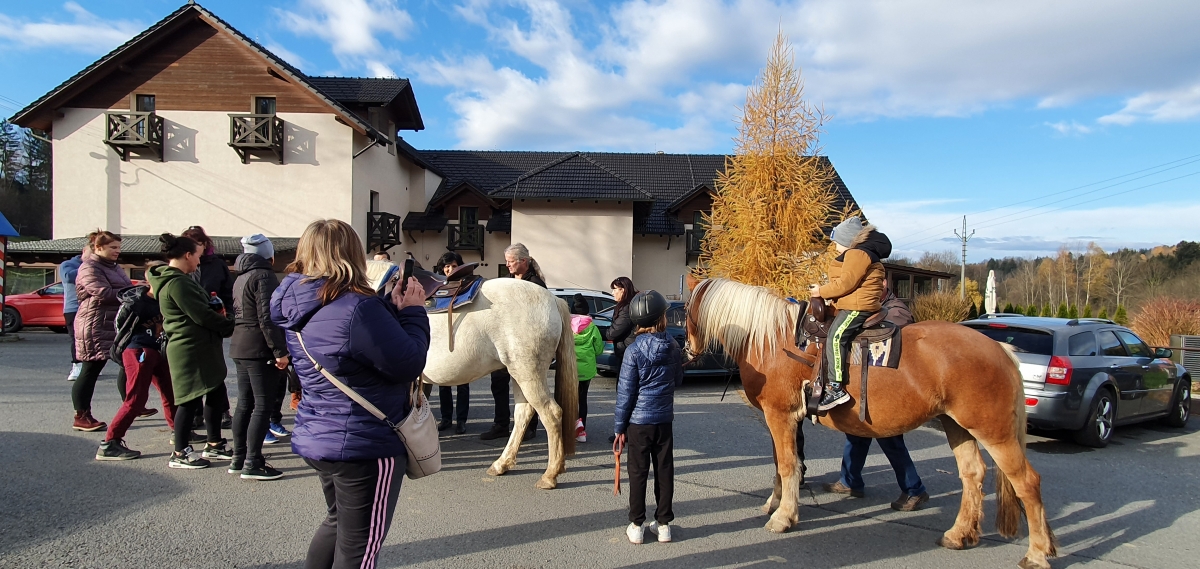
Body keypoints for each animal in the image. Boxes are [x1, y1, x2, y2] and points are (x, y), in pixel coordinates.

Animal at [420, 277, 578, 489]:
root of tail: (553, 299)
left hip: (529, 373)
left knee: (550, 414)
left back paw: (549, 475)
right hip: (518, 373)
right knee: (523, 413)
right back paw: (501, 464)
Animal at [691, 278, 1056, 569]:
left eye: (688, 312)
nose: (689, 349)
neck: (771, 339)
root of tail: (1000, 348)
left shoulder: (780, 416)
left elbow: (787, 465)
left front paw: (783, 517)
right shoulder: (780, 418)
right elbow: (783, 464)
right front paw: (775, 504)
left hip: (994, 431)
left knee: (1027, 483)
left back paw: (1037, 553)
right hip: (957, 426)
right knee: (972, 475)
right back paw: (959, 534)